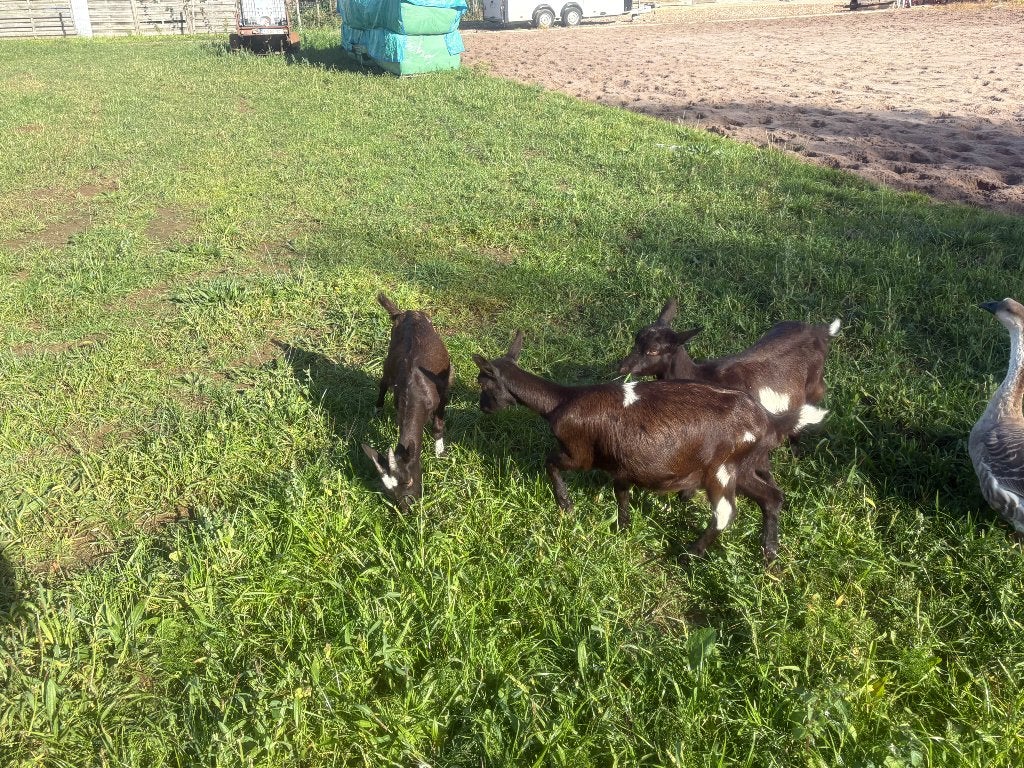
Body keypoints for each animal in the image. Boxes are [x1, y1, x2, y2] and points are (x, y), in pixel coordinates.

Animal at [362, 293, 452, 512]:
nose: (406, 509)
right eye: (389, 492)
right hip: (389, 360)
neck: (416, 394)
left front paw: (439, 452)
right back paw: (377, 408)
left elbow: (438, 425)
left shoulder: (443, 393)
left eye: (410, 480)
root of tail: (405, 312)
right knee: (383, 383)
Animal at [474, 332, 790, 563]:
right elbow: (621, 494)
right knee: (771, 497)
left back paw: (691, 552)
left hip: (720, 469)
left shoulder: (578, 453)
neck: (560, 402)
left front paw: (566, 505)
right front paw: (623, 527)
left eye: (483, 384)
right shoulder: (622, 466)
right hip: (740, 467)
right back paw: (769, 554)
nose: (483, 408)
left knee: (725, 512)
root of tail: (767, 421)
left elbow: (549, 462)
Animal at [618, 299, 840, 440]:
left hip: (813, 384)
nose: (622, 367)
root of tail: (820, 331)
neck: (703, 376)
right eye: (636, 339)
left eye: (653, 350)